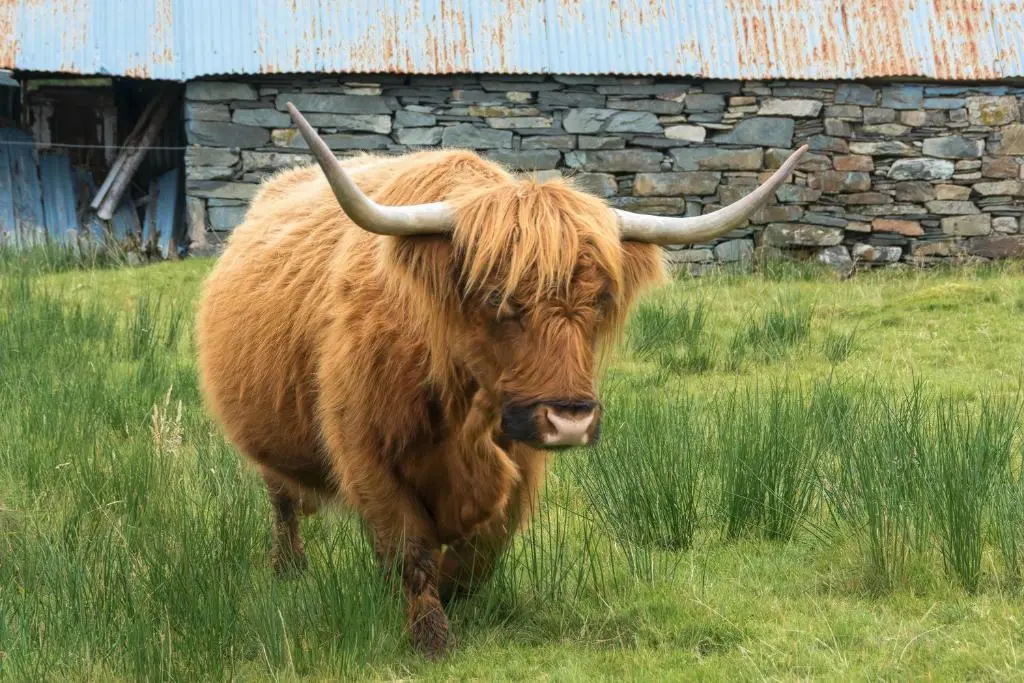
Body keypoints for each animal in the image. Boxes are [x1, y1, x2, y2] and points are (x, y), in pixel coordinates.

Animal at [196, 102, 806, 658]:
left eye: (600, 300)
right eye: (496, 297)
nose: (570, 419)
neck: (461, 402)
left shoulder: (521, 456)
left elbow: (483, 549)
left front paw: (452, 592)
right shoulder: (365, 451)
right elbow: (409, 547)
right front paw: (431, 638)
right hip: (269, 447)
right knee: (282, 503)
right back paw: (289, 569)